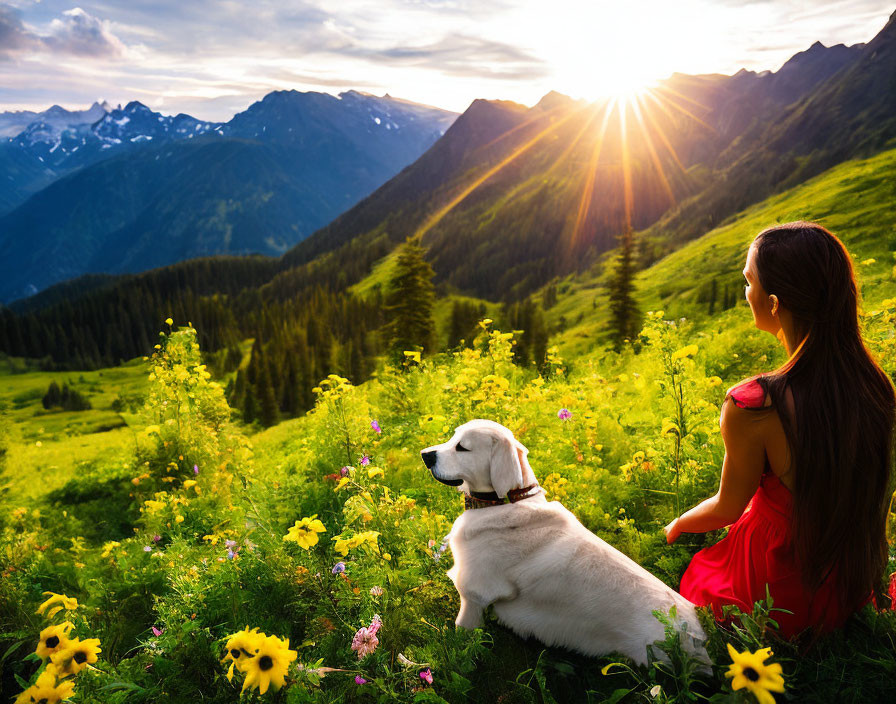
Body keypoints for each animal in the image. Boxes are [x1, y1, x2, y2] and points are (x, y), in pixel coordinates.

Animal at [420, 420, 708, 668]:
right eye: (453, 438)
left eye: (462, 447)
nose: (424, 454)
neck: (505, 502)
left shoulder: (474, 594)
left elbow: (461, 637)